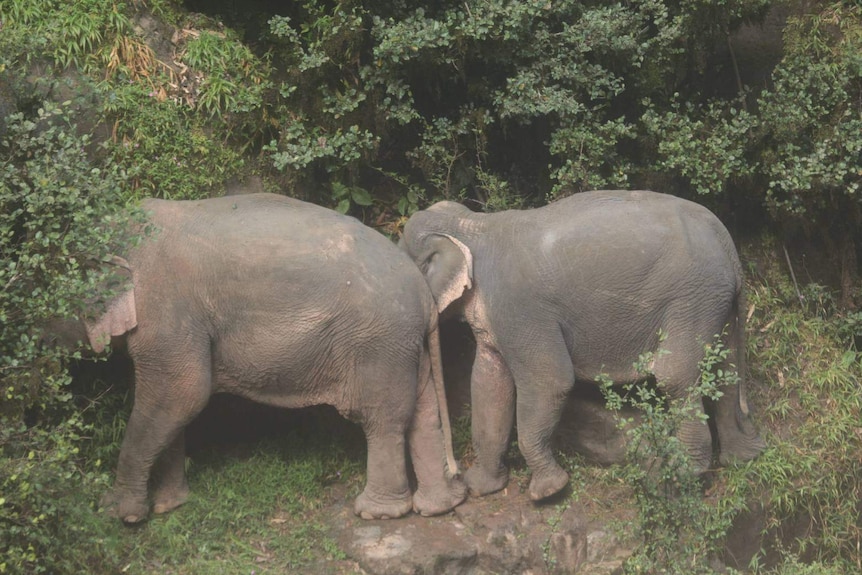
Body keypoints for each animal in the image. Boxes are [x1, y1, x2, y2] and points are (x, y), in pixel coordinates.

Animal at [84, 192, 470, 520]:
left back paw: (377, 513)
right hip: (406, 344)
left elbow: (182, 393)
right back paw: (437, 506)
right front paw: (170, 504)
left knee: (382, 419)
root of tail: (423, 292)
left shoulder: (165, 308)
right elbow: (174, 404)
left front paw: (118, 512)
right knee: (424, 413)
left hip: (378, 342)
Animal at [398, 191, 764, 502]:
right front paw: (481, 487)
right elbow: (489, 385)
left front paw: (548, 491)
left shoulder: (521, 309)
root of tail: (727, 244)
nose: (455, 474)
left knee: (676, 378)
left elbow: (551, 381)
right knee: (726, 371)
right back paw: (742, 456)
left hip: (692, 299)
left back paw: (681, 475)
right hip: (716, 301)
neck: (472, 225)